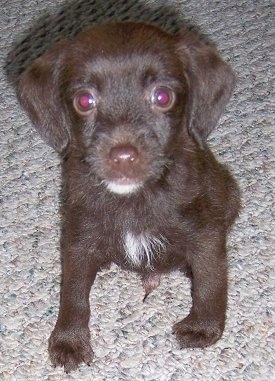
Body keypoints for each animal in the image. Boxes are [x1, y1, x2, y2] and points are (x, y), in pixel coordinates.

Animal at [17, 23, 242, 372]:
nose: (123, 155)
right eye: (84, 100)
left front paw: (203, 328)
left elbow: (210, 281)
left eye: (162, 96)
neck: (133, 199)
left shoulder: (205, 234)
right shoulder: (79, 239)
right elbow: (73, 293)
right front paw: (70, 341)